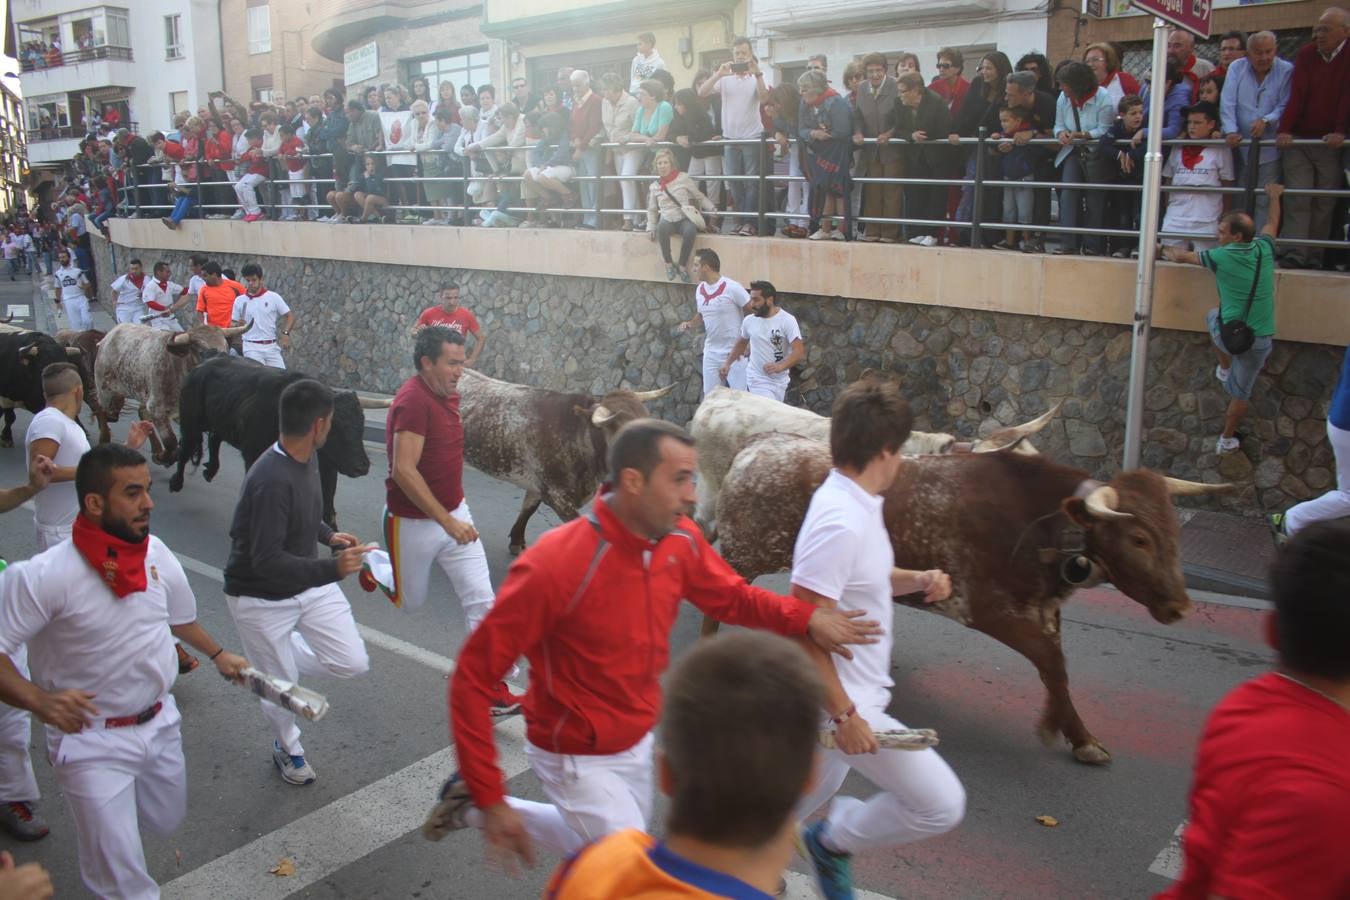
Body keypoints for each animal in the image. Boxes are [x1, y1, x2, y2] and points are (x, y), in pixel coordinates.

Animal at [170, 356, 386, 528]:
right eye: (336, 428)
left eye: (361, 424)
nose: (362, 467)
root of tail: (202, 365)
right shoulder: (254, 455)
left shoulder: (329, 467)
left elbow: (328, 506)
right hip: (191, 423)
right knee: (185, 450)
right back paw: (176, 482)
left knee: (214, 439)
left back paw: (209, 470)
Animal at [459, 367, 675, 555]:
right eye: (624, 430)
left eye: (647, 418)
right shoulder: (557, 496)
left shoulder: (538, 485)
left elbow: (528, 508)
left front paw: (517, 542)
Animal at [712, 437, 1231, 766]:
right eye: (1139, 538)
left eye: (1174, 530)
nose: (1181, 607)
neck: (1041, 523)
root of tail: (754, 450)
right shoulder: (988, 609)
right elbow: (1051, 662)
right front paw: (1065, 731)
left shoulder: (1044, 612)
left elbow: (1057, 668)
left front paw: (1076, 733)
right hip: (744, 552)